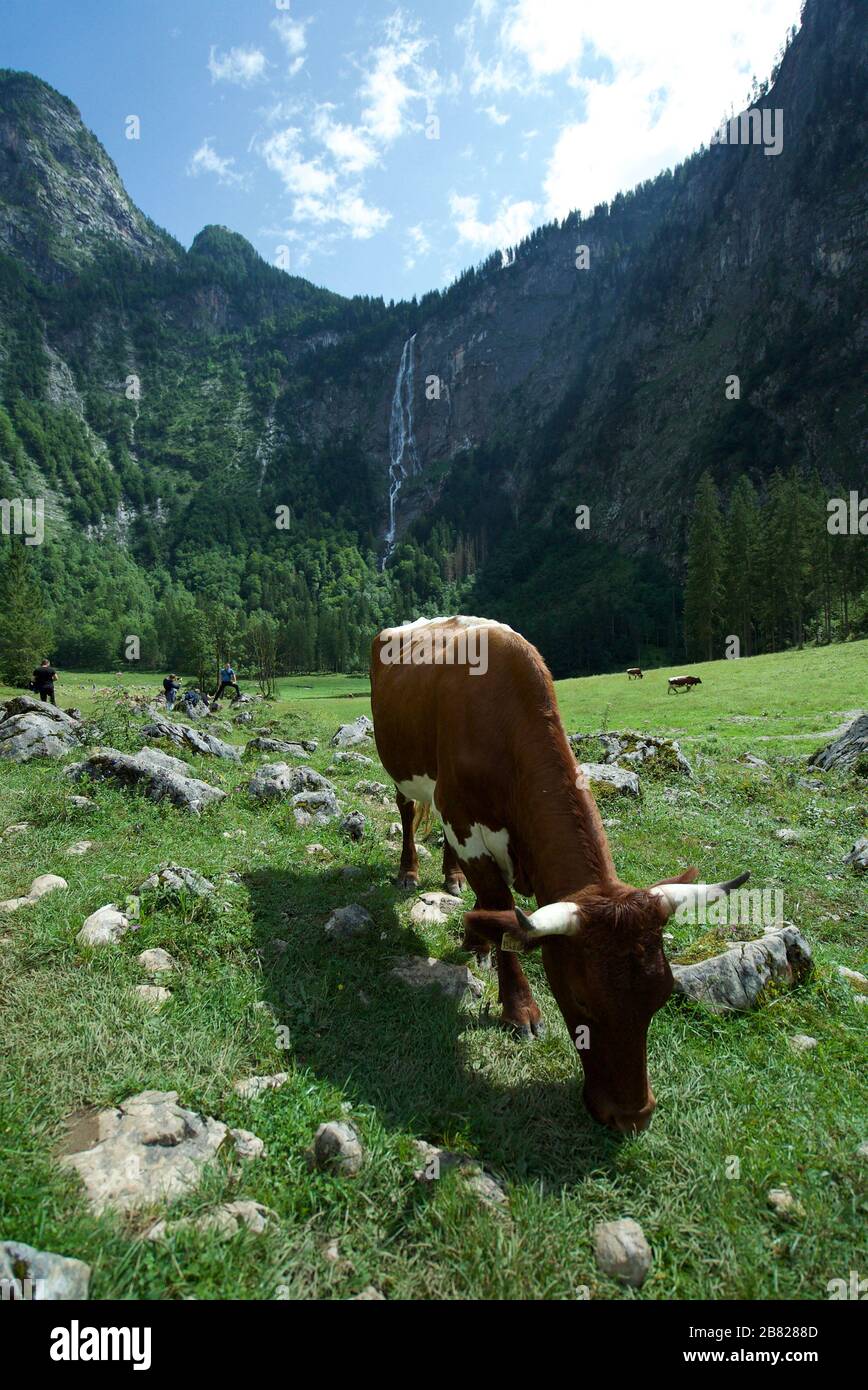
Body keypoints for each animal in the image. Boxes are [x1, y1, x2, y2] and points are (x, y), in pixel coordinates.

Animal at [370, 617, 747, 1134]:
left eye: (661, 996)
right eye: (581, 1000)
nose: (633, 1116)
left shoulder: (465, 822)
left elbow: (495, 913)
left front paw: (478, 939)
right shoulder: (467, 825)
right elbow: (503, 912)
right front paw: (520, 1009)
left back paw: (454, 885)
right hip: (401, 768)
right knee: (407, 811)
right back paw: (409, 872)